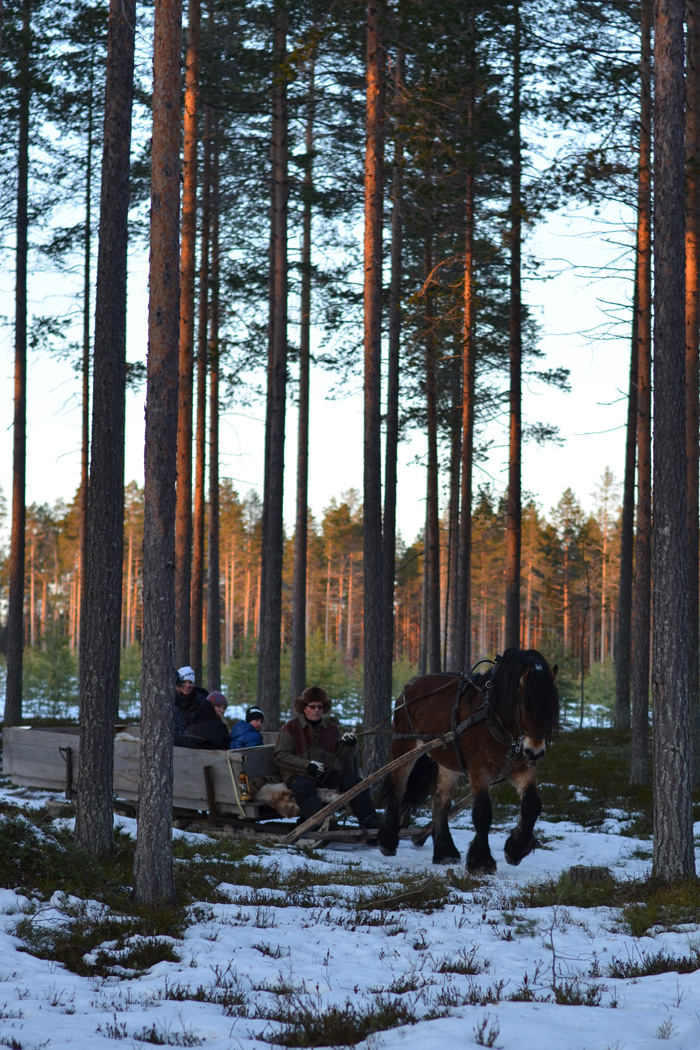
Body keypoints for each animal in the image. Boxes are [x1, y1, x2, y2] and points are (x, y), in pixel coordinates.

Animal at [377, 651, 558, 873]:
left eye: (551, 707)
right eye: (523, 703)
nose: (535, 751)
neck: (495, 721)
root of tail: (409, 685)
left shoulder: (523, 769)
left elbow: (533, 805)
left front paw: (515, 849)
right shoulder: (478, 769)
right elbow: (482, 812)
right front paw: (481, 860)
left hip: (447, 762)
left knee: (439, 801)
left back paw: (445, 851)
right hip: (405, 747)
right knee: (397, 788)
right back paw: (387, 841)